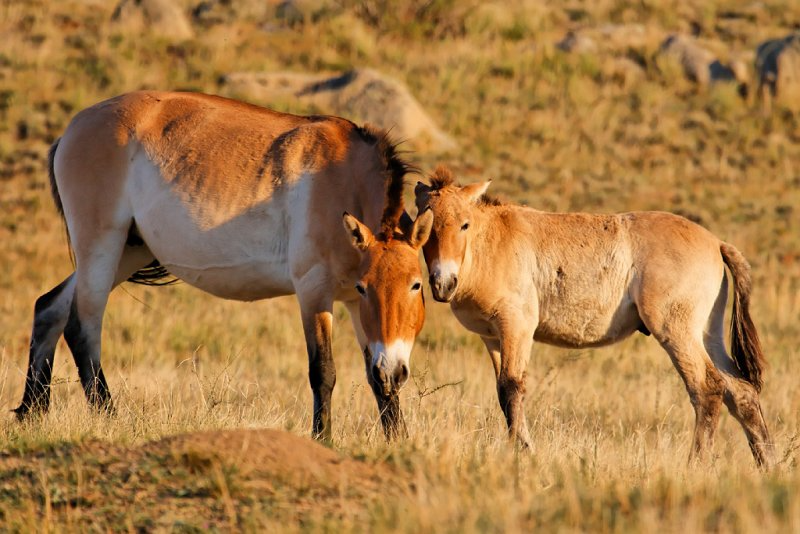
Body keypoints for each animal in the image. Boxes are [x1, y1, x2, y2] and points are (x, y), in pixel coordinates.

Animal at [14, 92, 432, 442]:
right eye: (366, 287)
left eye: (416, 285)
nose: (395, 369)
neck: (342, 176)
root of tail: (72, 129)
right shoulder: (316, 291)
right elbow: (323, 371)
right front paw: (322, 440)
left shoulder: (353, 306)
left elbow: (376, 381)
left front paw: (398, 443)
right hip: (101, 245)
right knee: (82, 328)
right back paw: (110, 418)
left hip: (128, 251)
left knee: (49, 308)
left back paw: (32, 412)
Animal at [418, 168, 776, 468]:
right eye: (423, 227)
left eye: (464, 224)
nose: (442, 282)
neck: (491, 244)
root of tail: (716, 242)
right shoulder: (492, 336)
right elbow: (503, 393)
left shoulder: (516, 327)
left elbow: (511, 389)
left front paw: (525, 453)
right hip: (707, 334)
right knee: (741, 393)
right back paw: (768, 465)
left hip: (677, 332)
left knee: (707, 388)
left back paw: (695, 466)